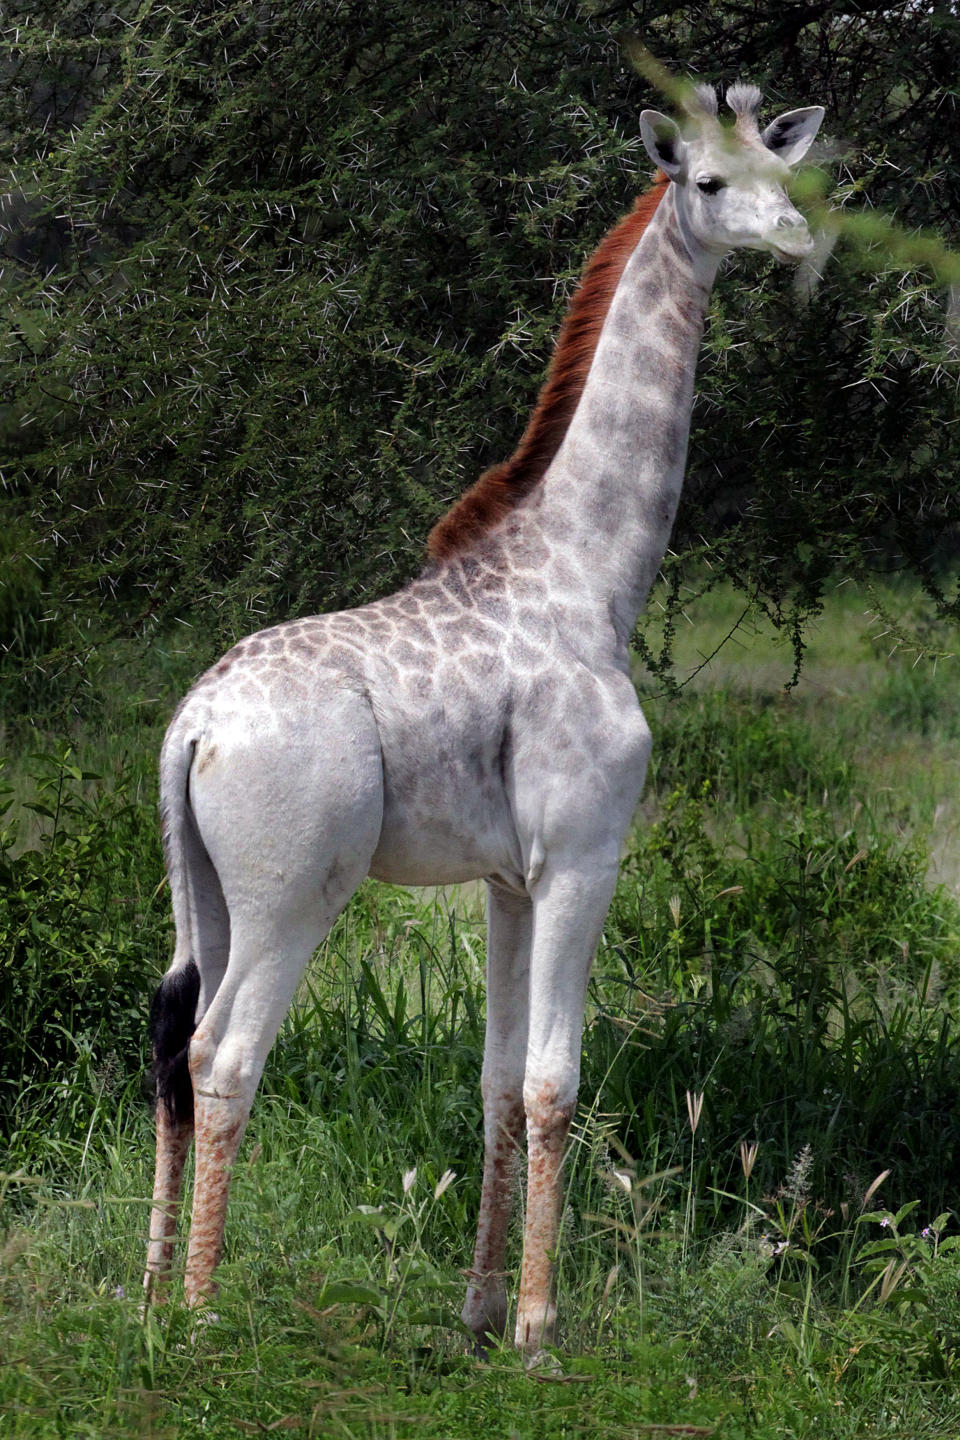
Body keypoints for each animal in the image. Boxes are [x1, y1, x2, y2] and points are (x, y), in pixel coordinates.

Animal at [144, 84, 829, 1353]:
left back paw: (154, 1285)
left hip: (202, 885)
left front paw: (476, 1310)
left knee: (175, 1037)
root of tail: (192, 727)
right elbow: (557, 1082)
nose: (795, 235)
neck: (593, 579)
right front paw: (540, 1329)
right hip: (292, 889)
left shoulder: (509, 878)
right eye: (708, 182)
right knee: (226, 1052)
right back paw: (205, 1314)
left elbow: (498, 1080)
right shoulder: (582, 856)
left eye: (783, 167)